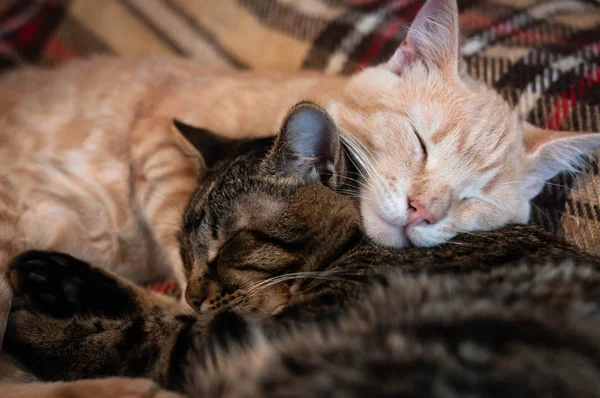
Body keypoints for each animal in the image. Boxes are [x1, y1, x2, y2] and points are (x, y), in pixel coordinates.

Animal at [1, 0, 600, 394]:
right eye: (418, 141)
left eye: (476, 199)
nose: (421, 210)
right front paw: (63, 282)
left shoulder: (264, 327)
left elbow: (156, 333)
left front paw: (44, 320)